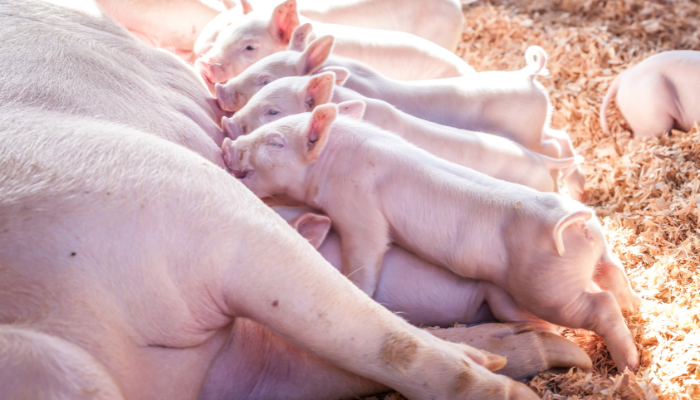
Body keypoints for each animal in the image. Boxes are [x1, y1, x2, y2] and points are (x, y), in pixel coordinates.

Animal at [222, 105, 643, 372]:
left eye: (275, 142)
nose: (228, 144)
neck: (335, 157)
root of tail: (576, 222)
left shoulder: (359, 212)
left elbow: (366, 257)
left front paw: (358, 289)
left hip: (547, 288)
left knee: (600, 305)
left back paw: (630, 365)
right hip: (597, 256)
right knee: (615, 278)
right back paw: (637, 311)